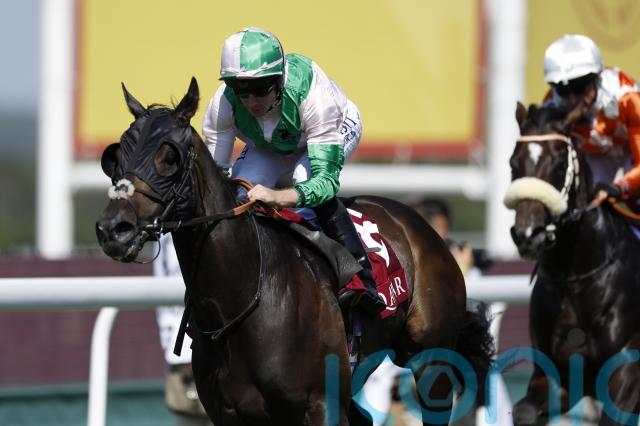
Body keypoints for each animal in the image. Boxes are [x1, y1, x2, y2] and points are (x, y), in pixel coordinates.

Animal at [95, 77, 493, 426]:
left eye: (169, 157)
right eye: (115, 156)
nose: (113, 229)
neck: (241, 300)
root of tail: (419, 225)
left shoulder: (320, 405)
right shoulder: (229, 414)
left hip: (432, 363)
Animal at [504, 101, 640, 426]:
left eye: (557, 164)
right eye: (513, 164)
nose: (528, 235)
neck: (577, 277)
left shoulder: (627, 371)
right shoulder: (559, 377)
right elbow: (524, 411)